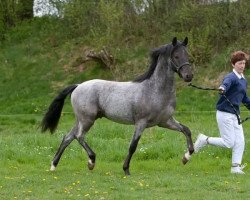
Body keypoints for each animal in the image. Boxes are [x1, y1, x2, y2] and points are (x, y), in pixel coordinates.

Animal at [40, 36, 193, 174]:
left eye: (188, 55)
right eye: (176, 56)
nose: (189, 76)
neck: (155, 90)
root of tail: (78, 85)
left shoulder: (165, 121)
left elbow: (186, 130)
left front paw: (186, 158)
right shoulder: (141, 123)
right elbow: (133, 146)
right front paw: (126, 169)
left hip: (81, 120)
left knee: (68, 137)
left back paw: (54, 166)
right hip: (87, 120)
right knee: (79, 136)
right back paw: (91, 161)